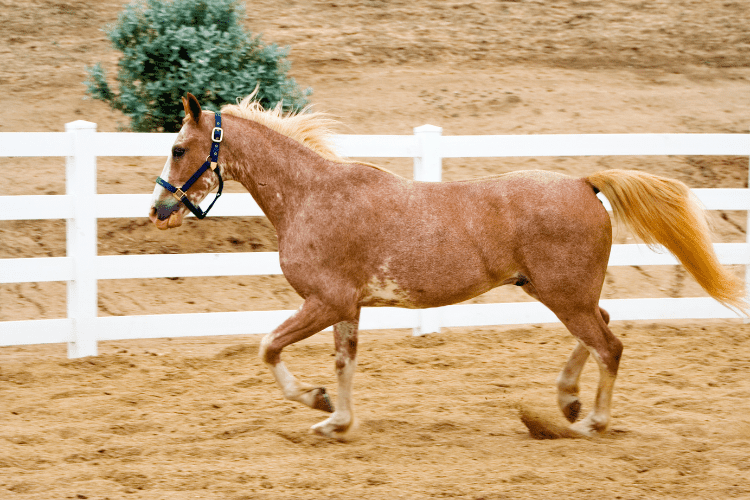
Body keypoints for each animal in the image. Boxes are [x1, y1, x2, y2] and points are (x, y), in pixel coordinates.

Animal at [148, 92, 748, 440]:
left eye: (178, 149)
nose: (156, 210)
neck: (312, 196)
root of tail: (584, 183)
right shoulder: (347, 307)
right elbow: (345, 363)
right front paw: (337, 420)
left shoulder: (325, 301)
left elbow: (268, 346)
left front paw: (316, 401)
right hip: (560, 292)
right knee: (601, 328)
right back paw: (568, 403)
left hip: (563, 295)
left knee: (609, 344)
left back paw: (591, 421)